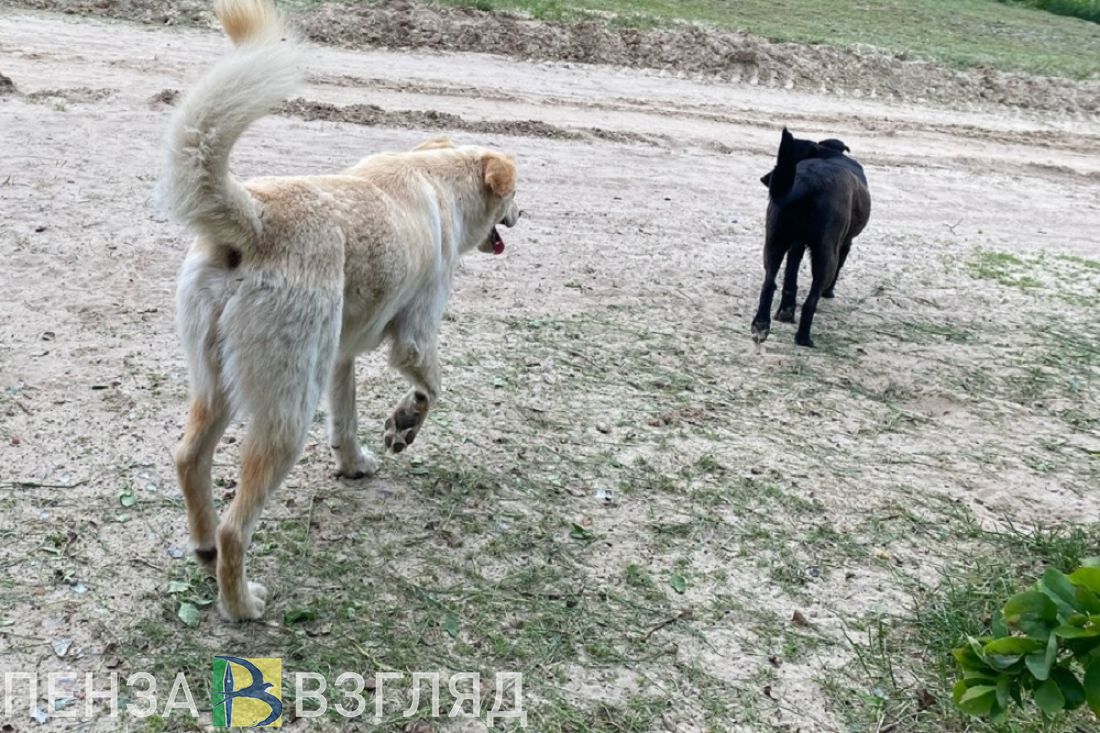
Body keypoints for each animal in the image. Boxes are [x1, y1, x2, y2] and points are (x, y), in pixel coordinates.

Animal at [162, 0, 519, 620]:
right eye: (514, 197)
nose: (523, 216)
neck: (438, 178)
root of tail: (254, 217)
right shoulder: (415, 336)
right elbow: (432, 386)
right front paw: (404, 424)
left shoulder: (340, 357)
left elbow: (347, 418)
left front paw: (354, 463)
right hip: (286, 410)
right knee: (237, 525)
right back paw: (241, 603)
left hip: (217, 383)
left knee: (189, 460)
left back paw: (203, 547)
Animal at [752, 129, 871, 347]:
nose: (764, 178)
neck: (829, 154)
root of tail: (806, 183)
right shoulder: (845, 244)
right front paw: (829, 292)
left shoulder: (796, 245)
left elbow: (790, 279)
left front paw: (786, 311)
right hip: (826, 253)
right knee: (811, 300)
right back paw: (804, 337)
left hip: (774, 241)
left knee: (769, 283)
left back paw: (762, 324)